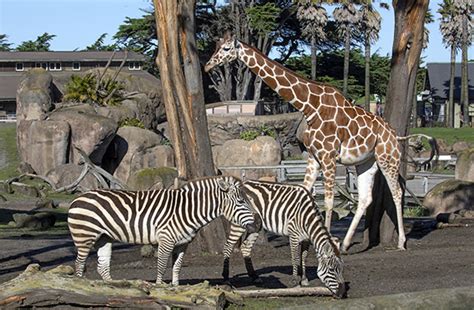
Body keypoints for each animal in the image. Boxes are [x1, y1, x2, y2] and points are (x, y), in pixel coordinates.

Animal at [67, 176, 256, 284]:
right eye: (241, 202)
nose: (255, 223)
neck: (187, 210)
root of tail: (77, 199)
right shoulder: (166, 240)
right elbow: (162, 266)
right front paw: (159, 288)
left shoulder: (182, 244)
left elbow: (177, 267)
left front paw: (176, 288)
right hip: (84, 236)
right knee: (79, 264)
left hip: (103, 237)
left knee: (102, 267)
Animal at [204, 32, 436, 253]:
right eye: (216, 46)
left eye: (226, 48)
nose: (207, 65)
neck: (309, 106)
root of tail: (396, 135)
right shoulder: (314, 157)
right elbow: (304, 193)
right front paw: (302, 240)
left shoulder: (328, 156)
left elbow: (329, 200)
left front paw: (327, 241)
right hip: (366, 162)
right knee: (364, 198)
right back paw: (346, 244)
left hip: (388, 158)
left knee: (397, 192)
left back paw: (401, 242)